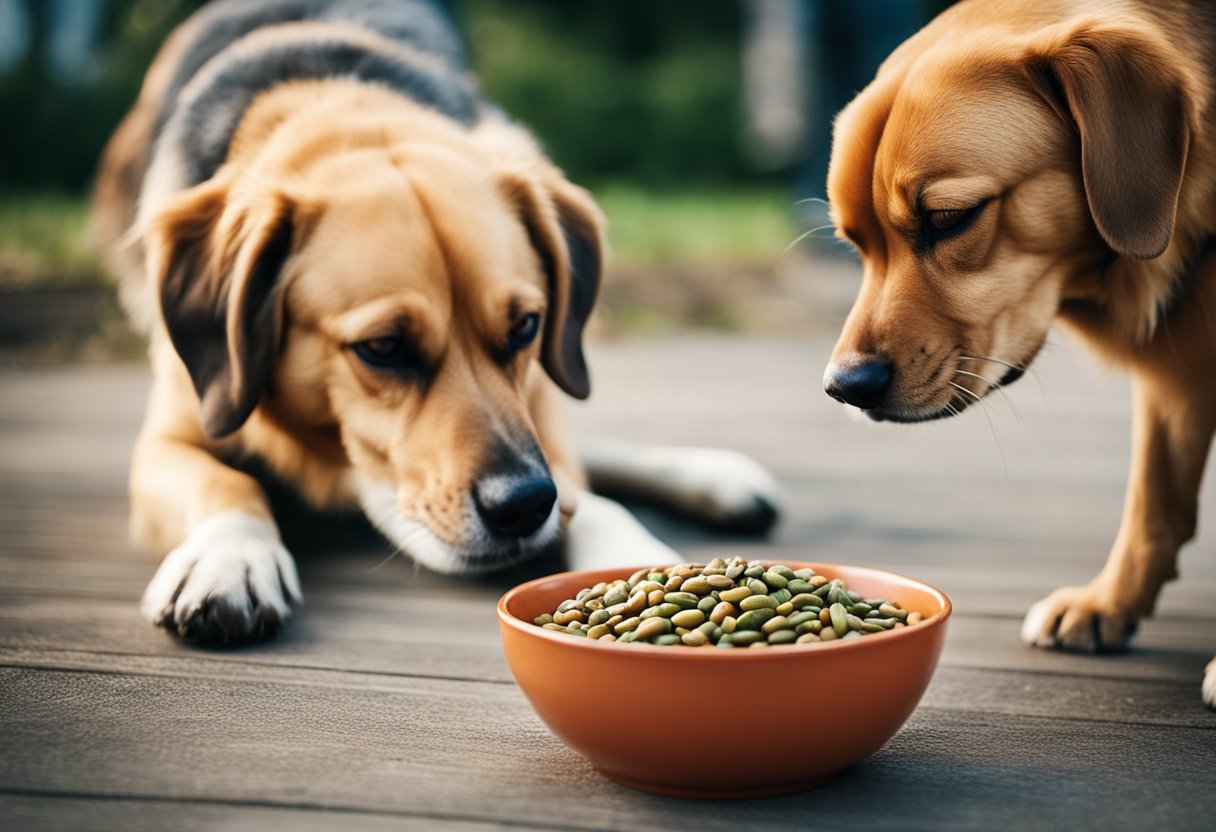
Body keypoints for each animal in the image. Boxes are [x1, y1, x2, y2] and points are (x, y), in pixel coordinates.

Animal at [94, 0, 778, 647]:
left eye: (526, 326)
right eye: (382, 347)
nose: (524, 507)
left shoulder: (542, 424)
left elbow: (589, 496)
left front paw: (636, 559)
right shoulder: (173, 435)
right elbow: (226, 484)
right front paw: (228, 557)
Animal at [822, 0, 1216, 710]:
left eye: (949, 217)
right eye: (853, 242)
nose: (844, 386)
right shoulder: (1175, 378)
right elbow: (1153, 499)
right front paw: (1110, 601)